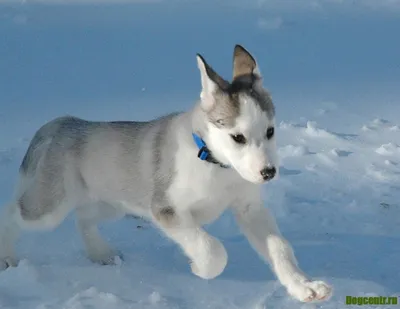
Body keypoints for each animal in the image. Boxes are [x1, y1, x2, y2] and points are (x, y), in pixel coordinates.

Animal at [0, 45, 332, 300]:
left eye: (271, 131)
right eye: (238, 137)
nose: (268, 172)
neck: (214, 164)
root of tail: (60, 123)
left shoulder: (249, 208)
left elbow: (280, 248)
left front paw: (305, 287)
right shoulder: (166, 210)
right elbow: (212, 249)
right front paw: (200, 268)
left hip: (112, 201)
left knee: (84, 219)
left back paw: (101, 253)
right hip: (48, 207)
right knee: (13, 212)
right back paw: (6, 257)